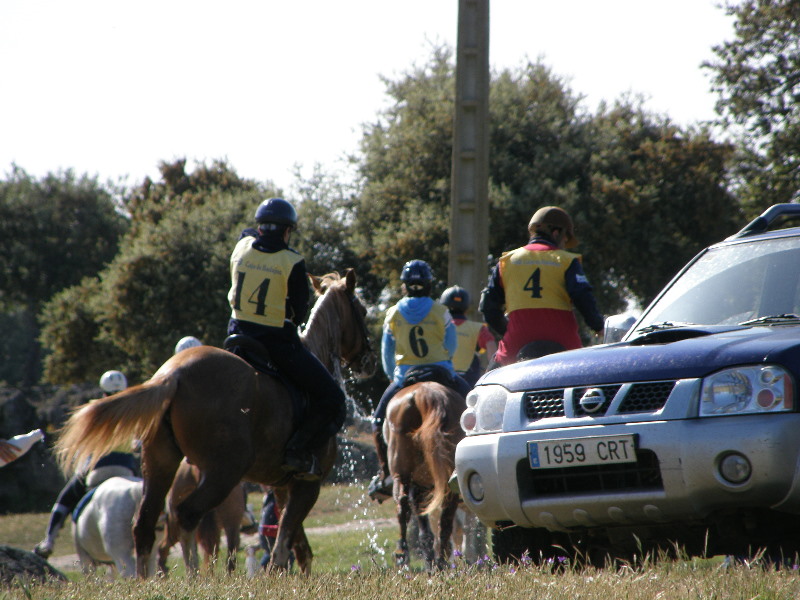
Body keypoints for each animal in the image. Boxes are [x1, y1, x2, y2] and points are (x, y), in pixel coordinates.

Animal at [56, 270, 376, 576]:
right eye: (361, 309)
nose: (369, 361)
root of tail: (174, 373)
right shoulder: (307, 485)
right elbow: (285, 544)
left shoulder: (284, 488)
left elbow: (298, 548)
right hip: (225, 471)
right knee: (188, 518)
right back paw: (195, 577)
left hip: (160, 463)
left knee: (146, 525)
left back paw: (147, 581)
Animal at [384, 382, 466, 568]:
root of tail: (423, 393)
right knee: (444, 525)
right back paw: (439, 561)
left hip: (403, 475)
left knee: (404, 506)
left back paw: (404, 553)